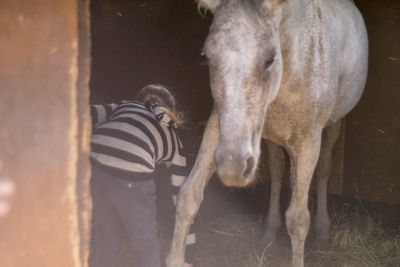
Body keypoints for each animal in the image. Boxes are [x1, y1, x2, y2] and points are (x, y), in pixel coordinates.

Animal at [167, 0, 368, 266]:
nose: (232, 166)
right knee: (278, 170)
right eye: (207, 57)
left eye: (270, 59)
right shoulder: (219, 125)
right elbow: (189, 194)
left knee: (324, 168)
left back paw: (323, 232)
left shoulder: (308, 141)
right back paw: (269, 232)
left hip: (334, 125)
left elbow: (298, 219)